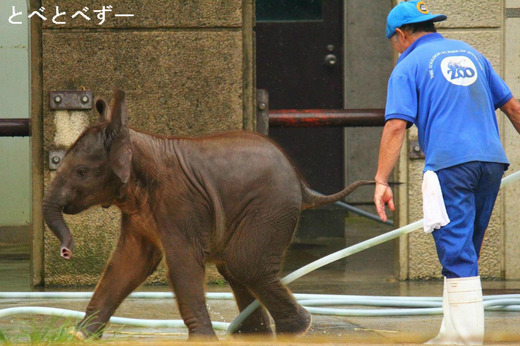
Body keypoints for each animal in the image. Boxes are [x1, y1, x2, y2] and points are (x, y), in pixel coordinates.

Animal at [42, 88, 372, 340]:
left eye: (81, 172)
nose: (66, 251)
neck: (137, 142)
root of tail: (303, 185)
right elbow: (127, 264)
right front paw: (79, 336)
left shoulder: (179, 204)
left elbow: (182, 263)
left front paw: (202, 339)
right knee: (236, 269)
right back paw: (256, 336)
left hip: (270, 208)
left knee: (245, 264)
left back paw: (298, 330)